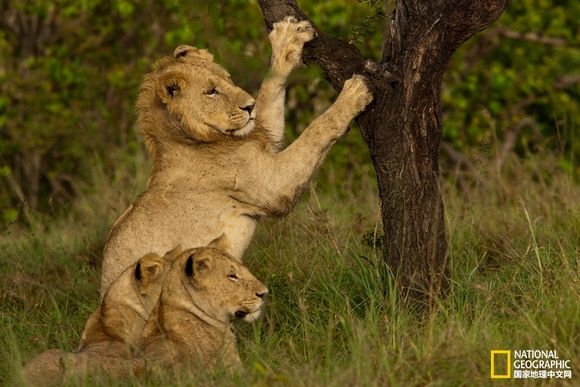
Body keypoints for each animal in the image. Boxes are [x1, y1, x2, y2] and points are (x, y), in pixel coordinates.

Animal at [99, 15, 372, 294]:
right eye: (211, 91)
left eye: (228, 79)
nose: (249, 106)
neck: (196, 139)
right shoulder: (273, 185)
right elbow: (317, 128)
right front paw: (354, 93)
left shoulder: (261, 136)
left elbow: (270, 87)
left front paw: (288, 38)